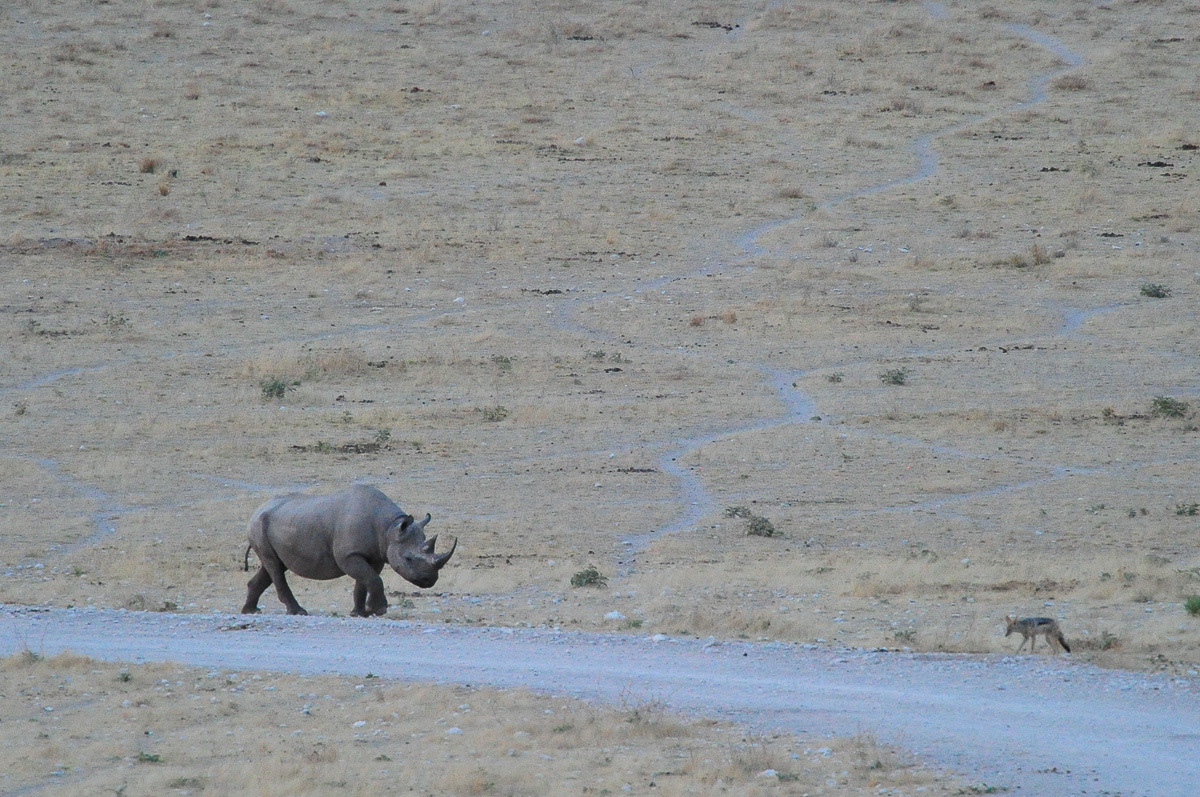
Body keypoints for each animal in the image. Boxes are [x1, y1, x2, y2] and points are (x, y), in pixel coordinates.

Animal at [241, 485, 456, 617]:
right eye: (409, 558)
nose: (430, 581)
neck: (389, 528)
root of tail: (256, 510)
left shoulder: (374, 554)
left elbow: (365, 580)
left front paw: (360, 613)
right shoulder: (348, 554)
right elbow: (372, 579)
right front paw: (378, 610)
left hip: (273, 525)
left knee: (274, 565)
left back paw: (251, 611)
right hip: (258, 525)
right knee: (274, 567)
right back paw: (298, 612)